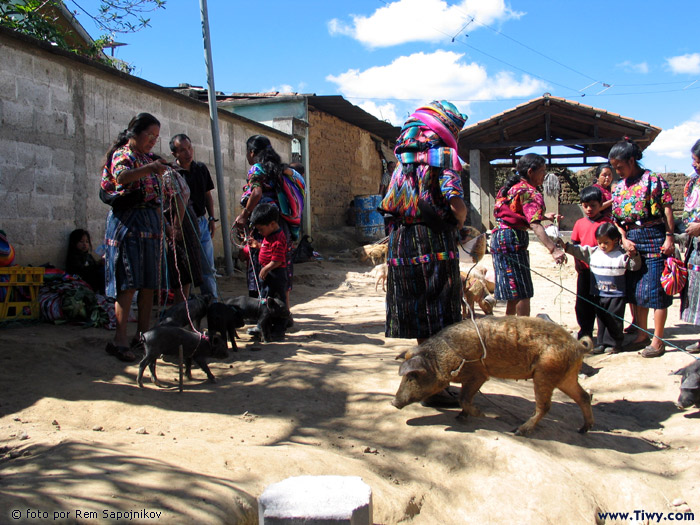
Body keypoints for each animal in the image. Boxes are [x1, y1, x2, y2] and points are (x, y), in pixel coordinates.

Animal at [392, 316, 592, 434]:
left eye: (411, 376)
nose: (393, 402)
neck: (444, 357)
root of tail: (578, 346)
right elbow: (465, 398)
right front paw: (461, 417)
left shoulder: (479, 374)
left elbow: (464, 398)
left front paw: (479, 415)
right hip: (565, 376)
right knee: (583, 396)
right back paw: (583, 429)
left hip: (545, 373)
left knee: (545, 406)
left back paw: (518, 430)